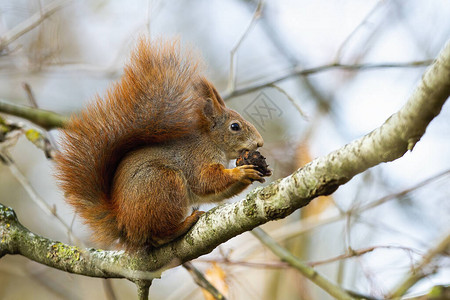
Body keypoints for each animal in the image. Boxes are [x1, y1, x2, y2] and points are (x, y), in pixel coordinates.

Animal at [54, 38, 268, 251]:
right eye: (235, 126)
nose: (260, 142)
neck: (212, 142)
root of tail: (126, 227)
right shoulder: (195, 158)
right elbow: (205, 181)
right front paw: (241, 172)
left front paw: (252, 173)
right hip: (163, 183)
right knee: (158, 235)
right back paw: (184, 224)